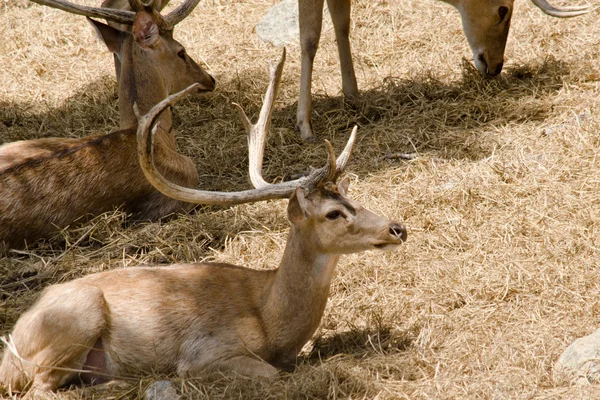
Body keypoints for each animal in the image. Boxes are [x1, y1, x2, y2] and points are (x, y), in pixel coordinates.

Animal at [0, 50, 408, 396]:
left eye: (354, 199)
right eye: (333, 213)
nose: (396, 228)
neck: (273, 321)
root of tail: (11, 348)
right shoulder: (204, 352)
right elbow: (271, 373)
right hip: (77, 317)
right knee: (39, 387)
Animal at [292, 0, 588, 140]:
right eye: (503, 9)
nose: (495, 65)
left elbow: (342, 22)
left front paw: (354, 96)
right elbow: (310, 36)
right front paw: (305, 126)